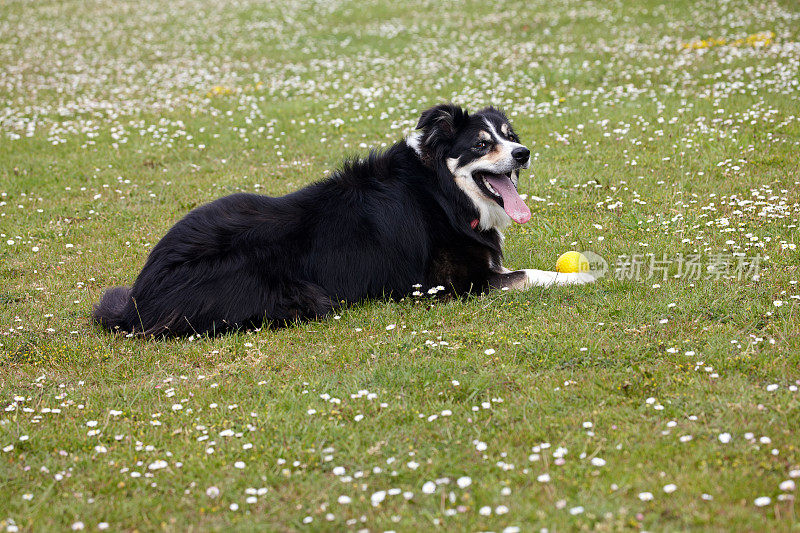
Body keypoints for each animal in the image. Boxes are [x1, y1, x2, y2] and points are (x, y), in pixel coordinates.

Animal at [94, 104, 592, 336]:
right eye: (481, 145)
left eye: (509, 137)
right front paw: (584, 276)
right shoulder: (450, 285)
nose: (523, 153)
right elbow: (531, 273)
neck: (441, 192)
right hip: (298, 294)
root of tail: (140, 297)